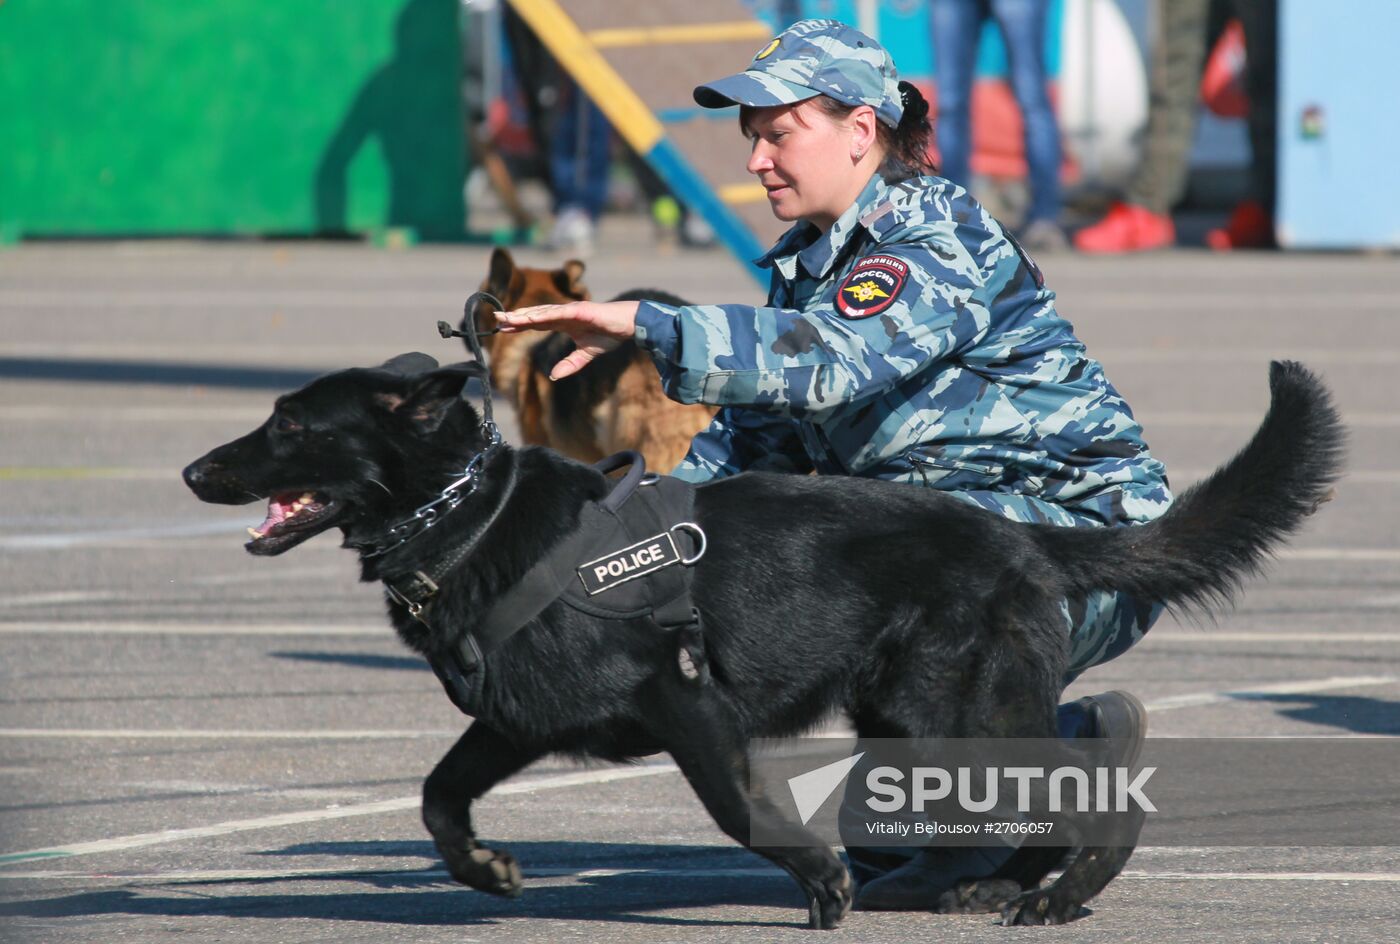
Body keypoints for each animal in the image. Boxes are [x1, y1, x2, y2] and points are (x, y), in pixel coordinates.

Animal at [186, 357, 1344, 924]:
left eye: (291, 425)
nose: (195, 471)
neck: (467, 514)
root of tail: (1017, 533)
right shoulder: (516, 721)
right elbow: (436, 797)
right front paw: (483, 871)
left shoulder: (690, 705)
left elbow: (740, 811)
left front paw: (821, 885)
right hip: (910, 720)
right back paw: (991, 885)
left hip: (948, 716)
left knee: (1078, 786)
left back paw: (1056, 892)